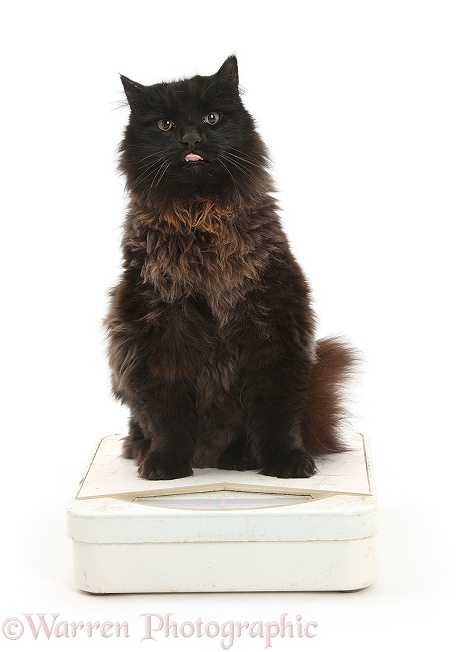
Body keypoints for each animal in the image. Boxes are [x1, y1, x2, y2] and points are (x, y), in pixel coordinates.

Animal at [106, 56, 358, 478]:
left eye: (211, 117)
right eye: (165, 125)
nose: (191, 139)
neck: (200, 220)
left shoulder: (273, 326)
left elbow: (276, 414)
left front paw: (284, 462)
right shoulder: (158, 334)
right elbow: (168, 416)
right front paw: (167, 464)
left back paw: (239, 459)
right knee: (141, 427)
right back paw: (146, 452)